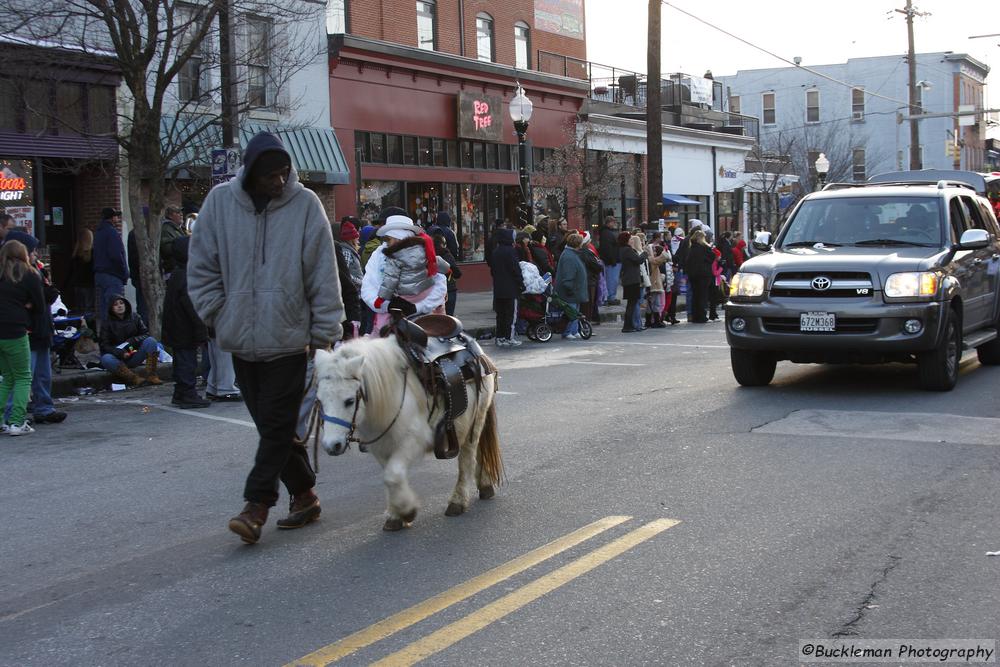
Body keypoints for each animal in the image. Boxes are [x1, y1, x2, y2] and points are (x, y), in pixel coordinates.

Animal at [312, 340, 504, 532]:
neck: (390, 393)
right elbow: (390, 477)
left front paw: (407, 511)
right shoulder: (381, 447)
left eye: (349, 401)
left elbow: (393, 475)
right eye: (319, 400)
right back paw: (485, 484)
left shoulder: (414, 441)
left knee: (467, 459)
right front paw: (395, 514)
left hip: (476, 420)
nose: (332, 445)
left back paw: (458, 501)